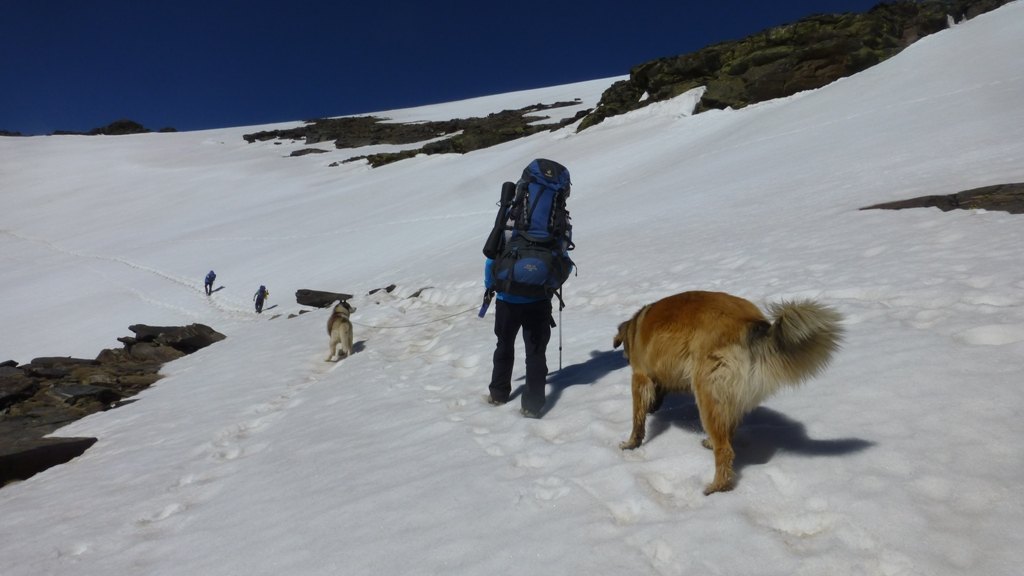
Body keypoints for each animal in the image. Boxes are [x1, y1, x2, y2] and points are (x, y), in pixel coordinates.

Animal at [614, 291, 839, 494]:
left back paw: (717, 486)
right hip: (726, 397)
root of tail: (750, 325)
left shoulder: (639, 376)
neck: (635, 327)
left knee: (725, 450)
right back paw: (711, 444)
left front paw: (631, 443)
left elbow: (637, 419)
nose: (653, 409)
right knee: (728, 431)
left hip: (707, 394)